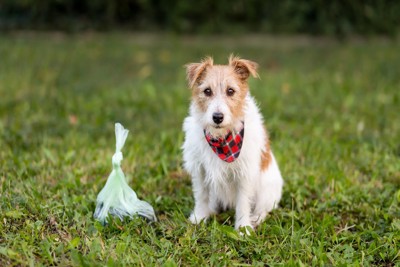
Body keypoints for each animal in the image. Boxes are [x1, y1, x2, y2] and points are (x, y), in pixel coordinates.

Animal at [183, 55, 282, 232]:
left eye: (230, 91)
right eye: (207, 91)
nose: (217, 117)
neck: (222, 139)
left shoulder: (245, 172)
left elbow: (243, 203)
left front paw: (243, 228)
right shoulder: (200, 168)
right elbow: (201, 195)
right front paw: (199, 218)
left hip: (267, 191)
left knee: (264, 209)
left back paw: (256, 218)